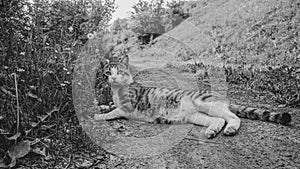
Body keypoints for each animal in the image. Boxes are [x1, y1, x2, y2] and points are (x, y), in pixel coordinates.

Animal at [94, 56, 290, 138]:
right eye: (107, 73)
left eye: (119, 71)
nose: (112, 78)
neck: (117, 90)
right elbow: (109, 106)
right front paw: (100, 107)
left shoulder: (128, 106)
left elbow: (113, 112)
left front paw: (98, 115)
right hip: (196, 116)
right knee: (218, 120)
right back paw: (212, 131)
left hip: (206, 104)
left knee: (233, 117)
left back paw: (230, 129)